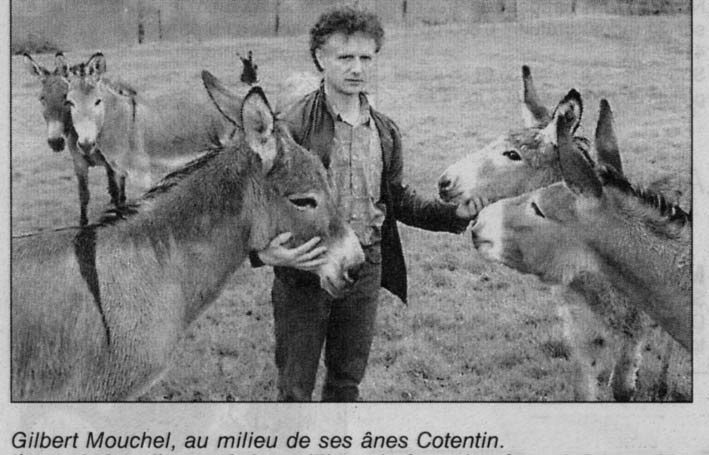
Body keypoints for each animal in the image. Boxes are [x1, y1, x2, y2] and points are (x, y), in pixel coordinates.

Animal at [437, 66, 678, 401]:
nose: (444, 182)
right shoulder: (582, 334)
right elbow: (583, 392)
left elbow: (621, 388)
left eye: (512, 154)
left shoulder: (633, 329)